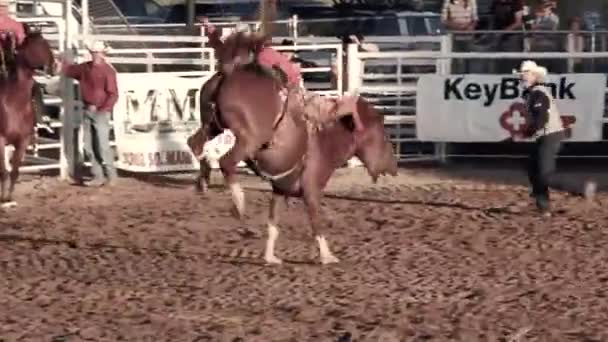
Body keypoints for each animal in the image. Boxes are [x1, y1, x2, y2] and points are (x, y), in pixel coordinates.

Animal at [190, 32, 400, 264]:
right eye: (384, 137)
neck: (325, 142)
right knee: (226, 162)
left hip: (212, 124)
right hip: (249, 138)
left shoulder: (279, 190)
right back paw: (238, 203)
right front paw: (327, 256)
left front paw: (270, 257)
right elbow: (317, 223)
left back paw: (203, 180)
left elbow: (273, 224)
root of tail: (229, 73)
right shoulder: (312, 191)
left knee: (195, 144)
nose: (393, 166)